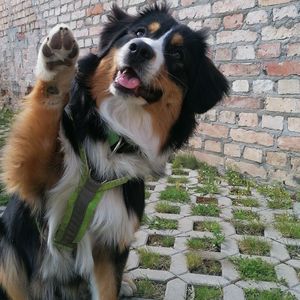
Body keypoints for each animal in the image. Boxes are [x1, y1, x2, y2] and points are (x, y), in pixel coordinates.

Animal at [0, 4, 226, 300]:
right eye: (139, 32)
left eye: (178, 54)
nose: (139, 49)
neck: (113, 140)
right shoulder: (32, 181)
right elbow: (42, 120)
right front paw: (57, 63)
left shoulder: (111, 241)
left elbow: (108, 288)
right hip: (7, 251)